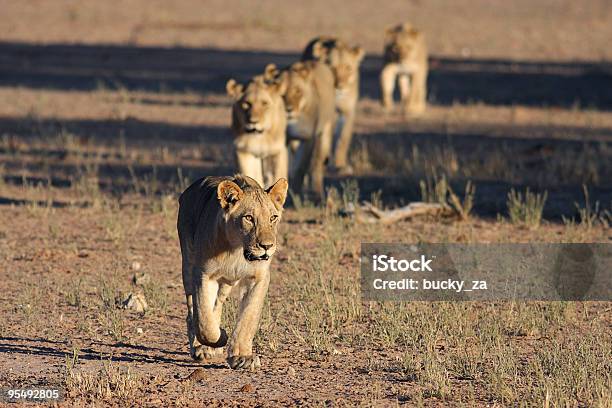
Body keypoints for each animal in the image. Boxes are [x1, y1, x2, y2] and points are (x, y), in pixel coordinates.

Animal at [302, 35, 364, 175]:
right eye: (332, 68)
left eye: (348, 68)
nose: (340, 87)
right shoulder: (326, 113)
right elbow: (326, 142)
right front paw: (325, 161)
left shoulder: (348, 111)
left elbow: (343, 139)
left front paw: (340, 165)